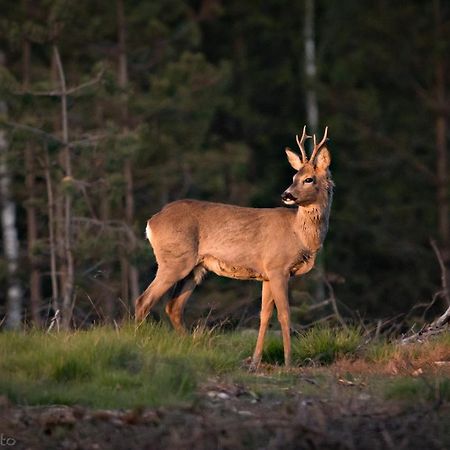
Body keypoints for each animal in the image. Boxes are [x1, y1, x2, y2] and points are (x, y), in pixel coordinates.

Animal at [135, 126, 332, 370]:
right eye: (294, 177)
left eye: (308, 179)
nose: (286, 194)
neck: (300, 235)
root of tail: (151, 222)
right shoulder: (277, 267)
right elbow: (284, 314)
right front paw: (288, 362)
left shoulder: (266, 274)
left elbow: (264, 315)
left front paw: (255, 361)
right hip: (174, 261)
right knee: (144, 300)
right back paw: (139, 341)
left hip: (194, 268)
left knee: (173, 307)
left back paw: (194, 347)